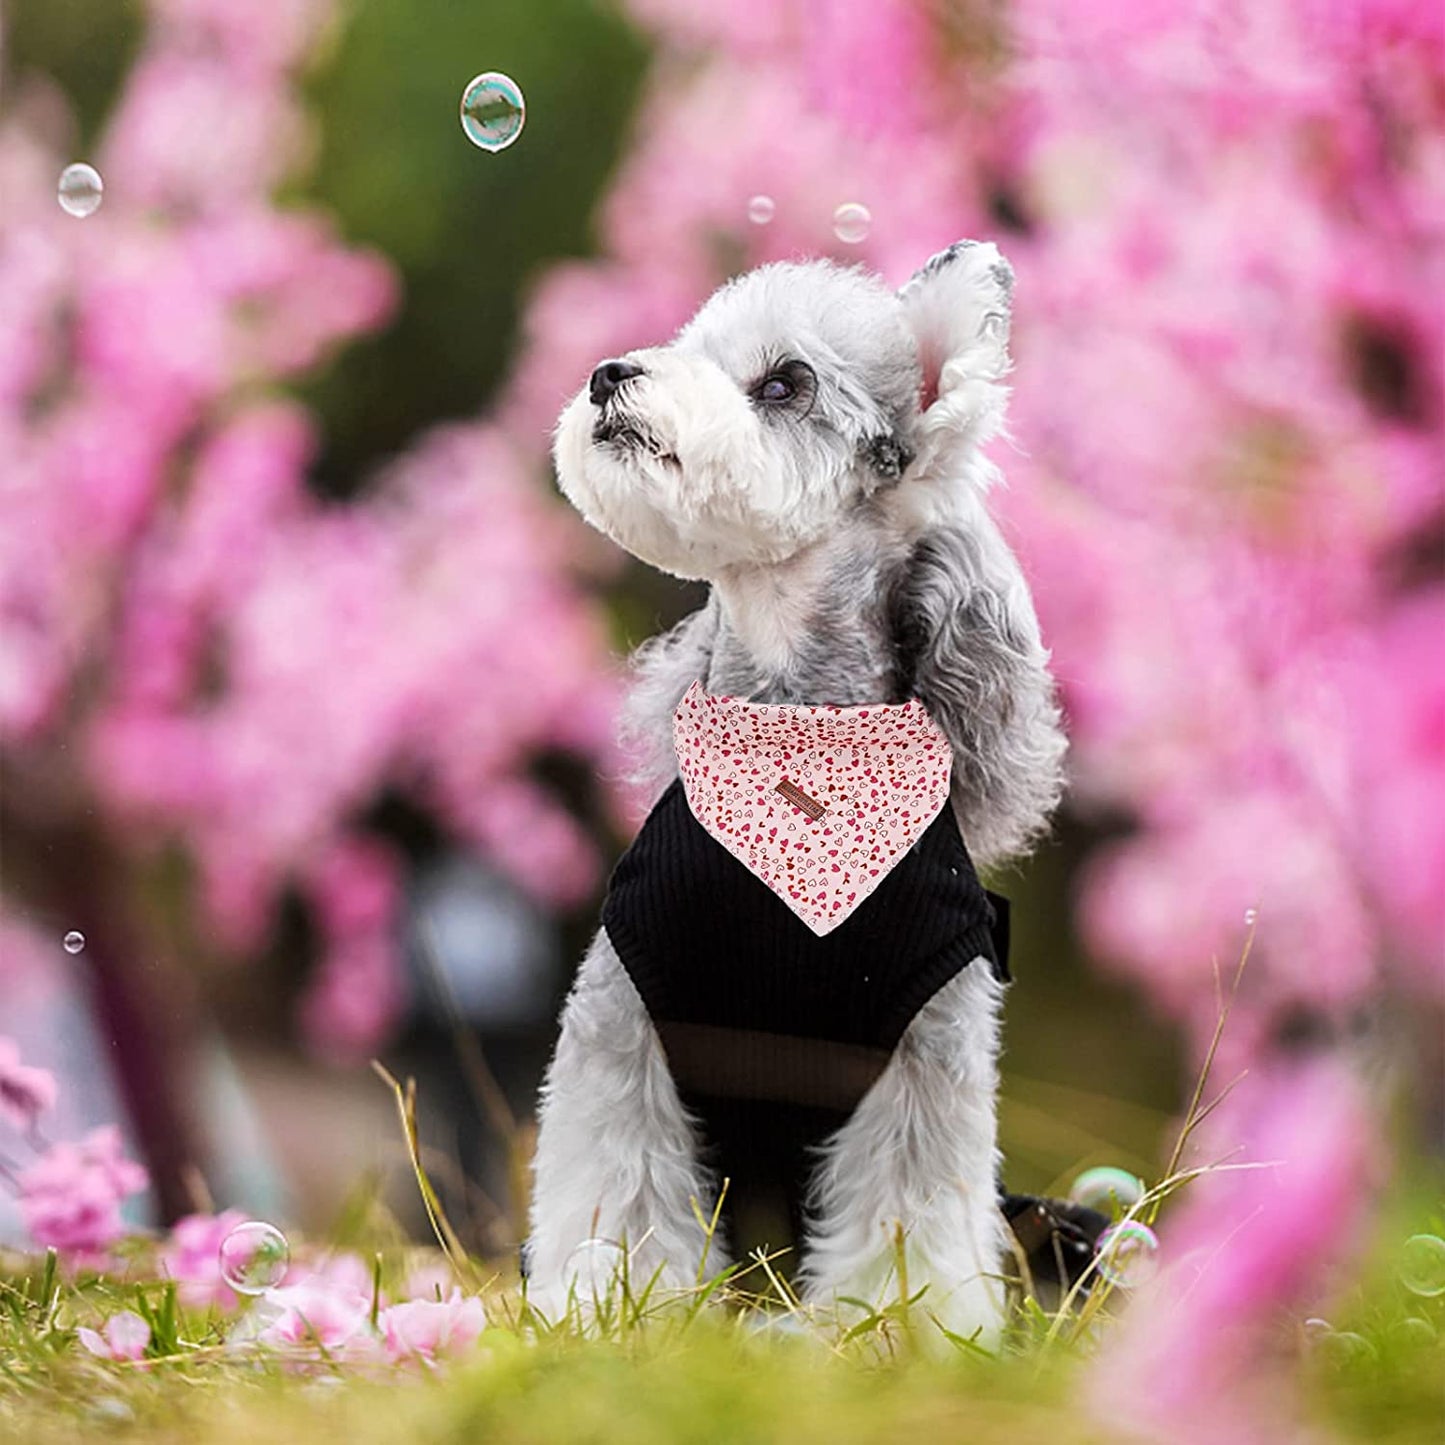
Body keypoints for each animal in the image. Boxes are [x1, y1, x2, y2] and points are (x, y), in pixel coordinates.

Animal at [525, 239, 1069, 1340]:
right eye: (689, 346)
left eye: (783, 383)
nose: (606, 373)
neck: (795, 744)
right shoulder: (624, 1027)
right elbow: (620, 1187)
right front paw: (613, 1305)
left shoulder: (925, 1058)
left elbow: (907, 1211)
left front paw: (893, 1329)